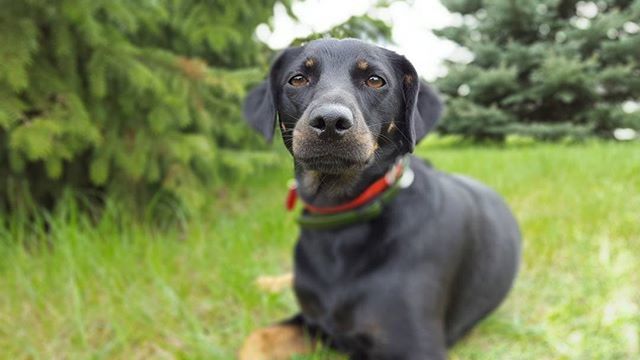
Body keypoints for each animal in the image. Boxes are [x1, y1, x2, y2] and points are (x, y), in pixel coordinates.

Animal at [239, 39, 520, 360]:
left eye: (375, 80)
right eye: (297, 79)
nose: (330, 122)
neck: (339, 218)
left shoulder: (416, 346)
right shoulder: (314, 323)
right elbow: (255, 339)